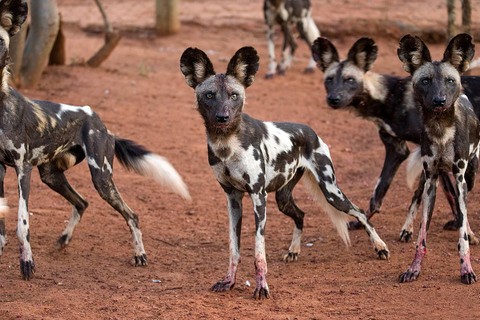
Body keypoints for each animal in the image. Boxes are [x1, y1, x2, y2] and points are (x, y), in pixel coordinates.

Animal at [0, 0, 190, 280]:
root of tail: (105, 126)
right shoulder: (1, 169)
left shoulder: (22, 170)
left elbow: (22, 224)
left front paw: (26, 263)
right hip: (51, 175)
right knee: (82, 202)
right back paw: (64, 240)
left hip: (101, 178)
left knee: (132, 215)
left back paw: (140, 255)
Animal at [180, 44, 390, 298]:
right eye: (209, 95)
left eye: (234, 95)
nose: (223, 117)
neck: (226, 143)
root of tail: (310, 131)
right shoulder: (233, 198)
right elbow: (234, 249)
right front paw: (229, 281)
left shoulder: (258, 197)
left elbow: (258, 254)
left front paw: (262, 287)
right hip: (283, 198)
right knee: (301, 215)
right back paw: (293, 251)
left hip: (331, 191)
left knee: (359, 212)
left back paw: (380, 247)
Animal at [312, 35, 480, 245]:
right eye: (329, 80)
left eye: (349, 80)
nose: (333, 98)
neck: (389, 98)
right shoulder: (397, 150)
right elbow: (378, 194)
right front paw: (362, 223)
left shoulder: (435, 157)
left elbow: (441, 195)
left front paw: (460, 226)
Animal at [396, 33, 478, 284]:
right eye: (425, 81)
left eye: (449, 81)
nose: (439, 100)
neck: (440, 129)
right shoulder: (431, 178)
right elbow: (422, 237)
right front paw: (413, 268)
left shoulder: (460, 177)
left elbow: (462, 233)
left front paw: (466, 269)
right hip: (427, 178)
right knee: (415, 197)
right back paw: (406, 228)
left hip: (469, 176)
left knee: (464, 210)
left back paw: (471, 233)